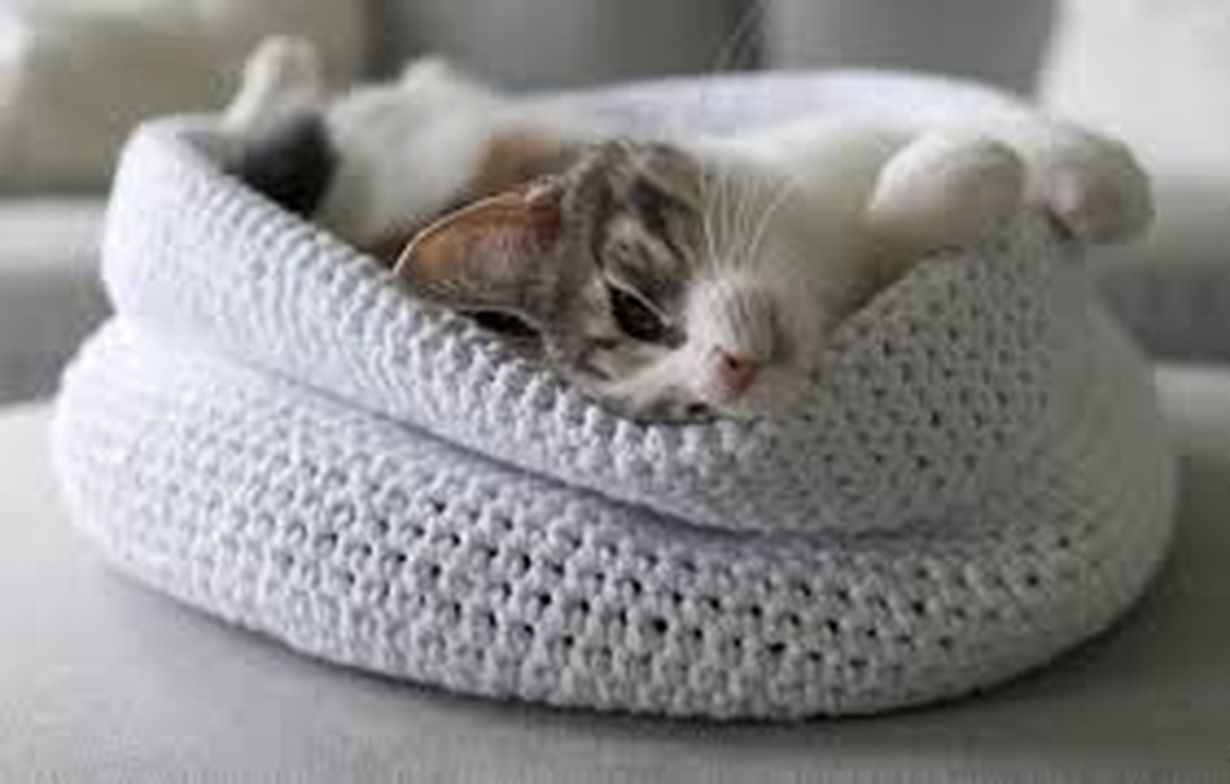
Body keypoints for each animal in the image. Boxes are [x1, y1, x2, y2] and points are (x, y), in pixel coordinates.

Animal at [221, 36, 1153, 421]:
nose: (724, 374)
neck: (821, 252)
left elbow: (932, 108)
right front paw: (964, 176)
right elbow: (916, 203)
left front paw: (1095, 176)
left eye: (633, 310)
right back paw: (279, 66)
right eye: (685, 411)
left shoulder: (833, 135)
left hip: (435, 136)